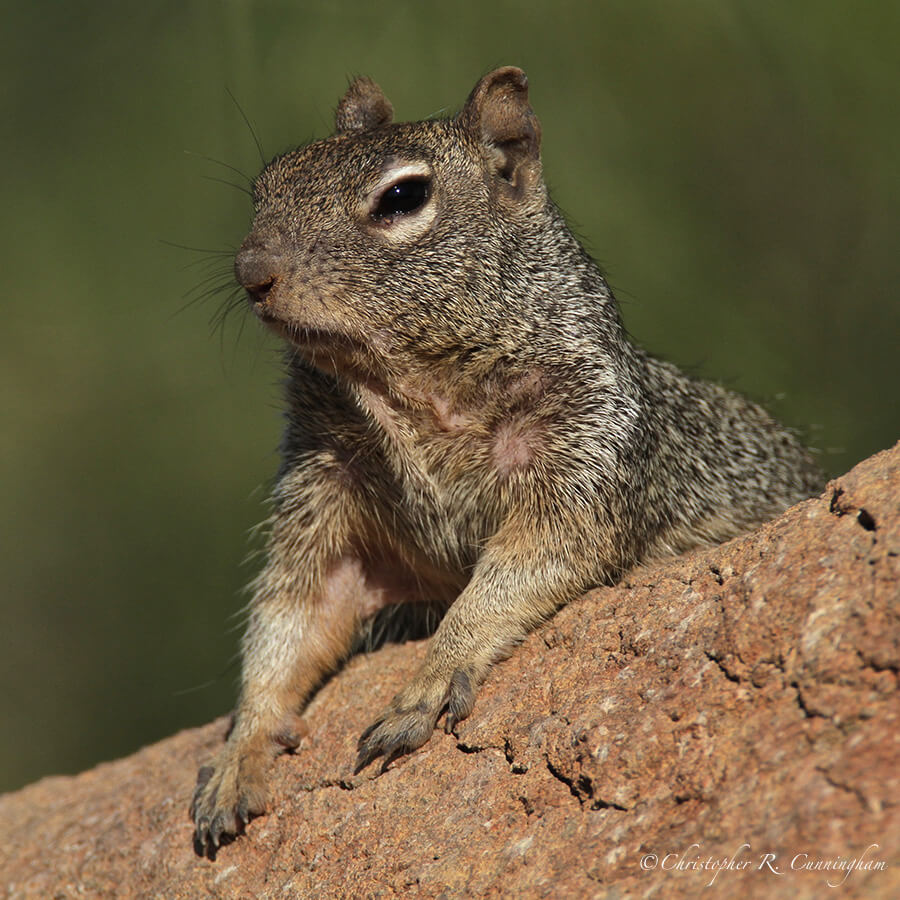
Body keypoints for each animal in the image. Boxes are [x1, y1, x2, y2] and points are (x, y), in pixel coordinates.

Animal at [190, 68, 824, 852]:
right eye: (266, 185)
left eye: (402, 198)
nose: (251, 271)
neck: (402, 392)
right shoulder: (323, 482)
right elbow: (292, 617)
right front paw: (238, 752)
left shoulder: (585, 441)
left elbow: (522, 567)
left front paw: (430, 680)